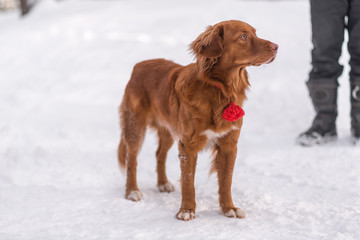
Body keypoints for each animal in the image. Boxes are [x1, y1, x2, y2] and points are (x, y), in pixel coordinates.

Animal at [118, 20, 278, 221]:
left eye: (255, 33)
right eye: (243, 36)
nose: (276, 47)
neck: (221, 90)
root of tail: (139, 65)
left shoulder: (228, 144)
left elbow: (226, 181)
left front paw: (229, 208)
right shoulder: (188, 144)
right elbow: (188, 182)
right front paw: (186, 210)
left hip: (168, 129)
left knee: (159, 154)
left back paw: (162, 183)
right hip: (135, 126)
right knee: (132, 159)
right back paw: (132, 191)